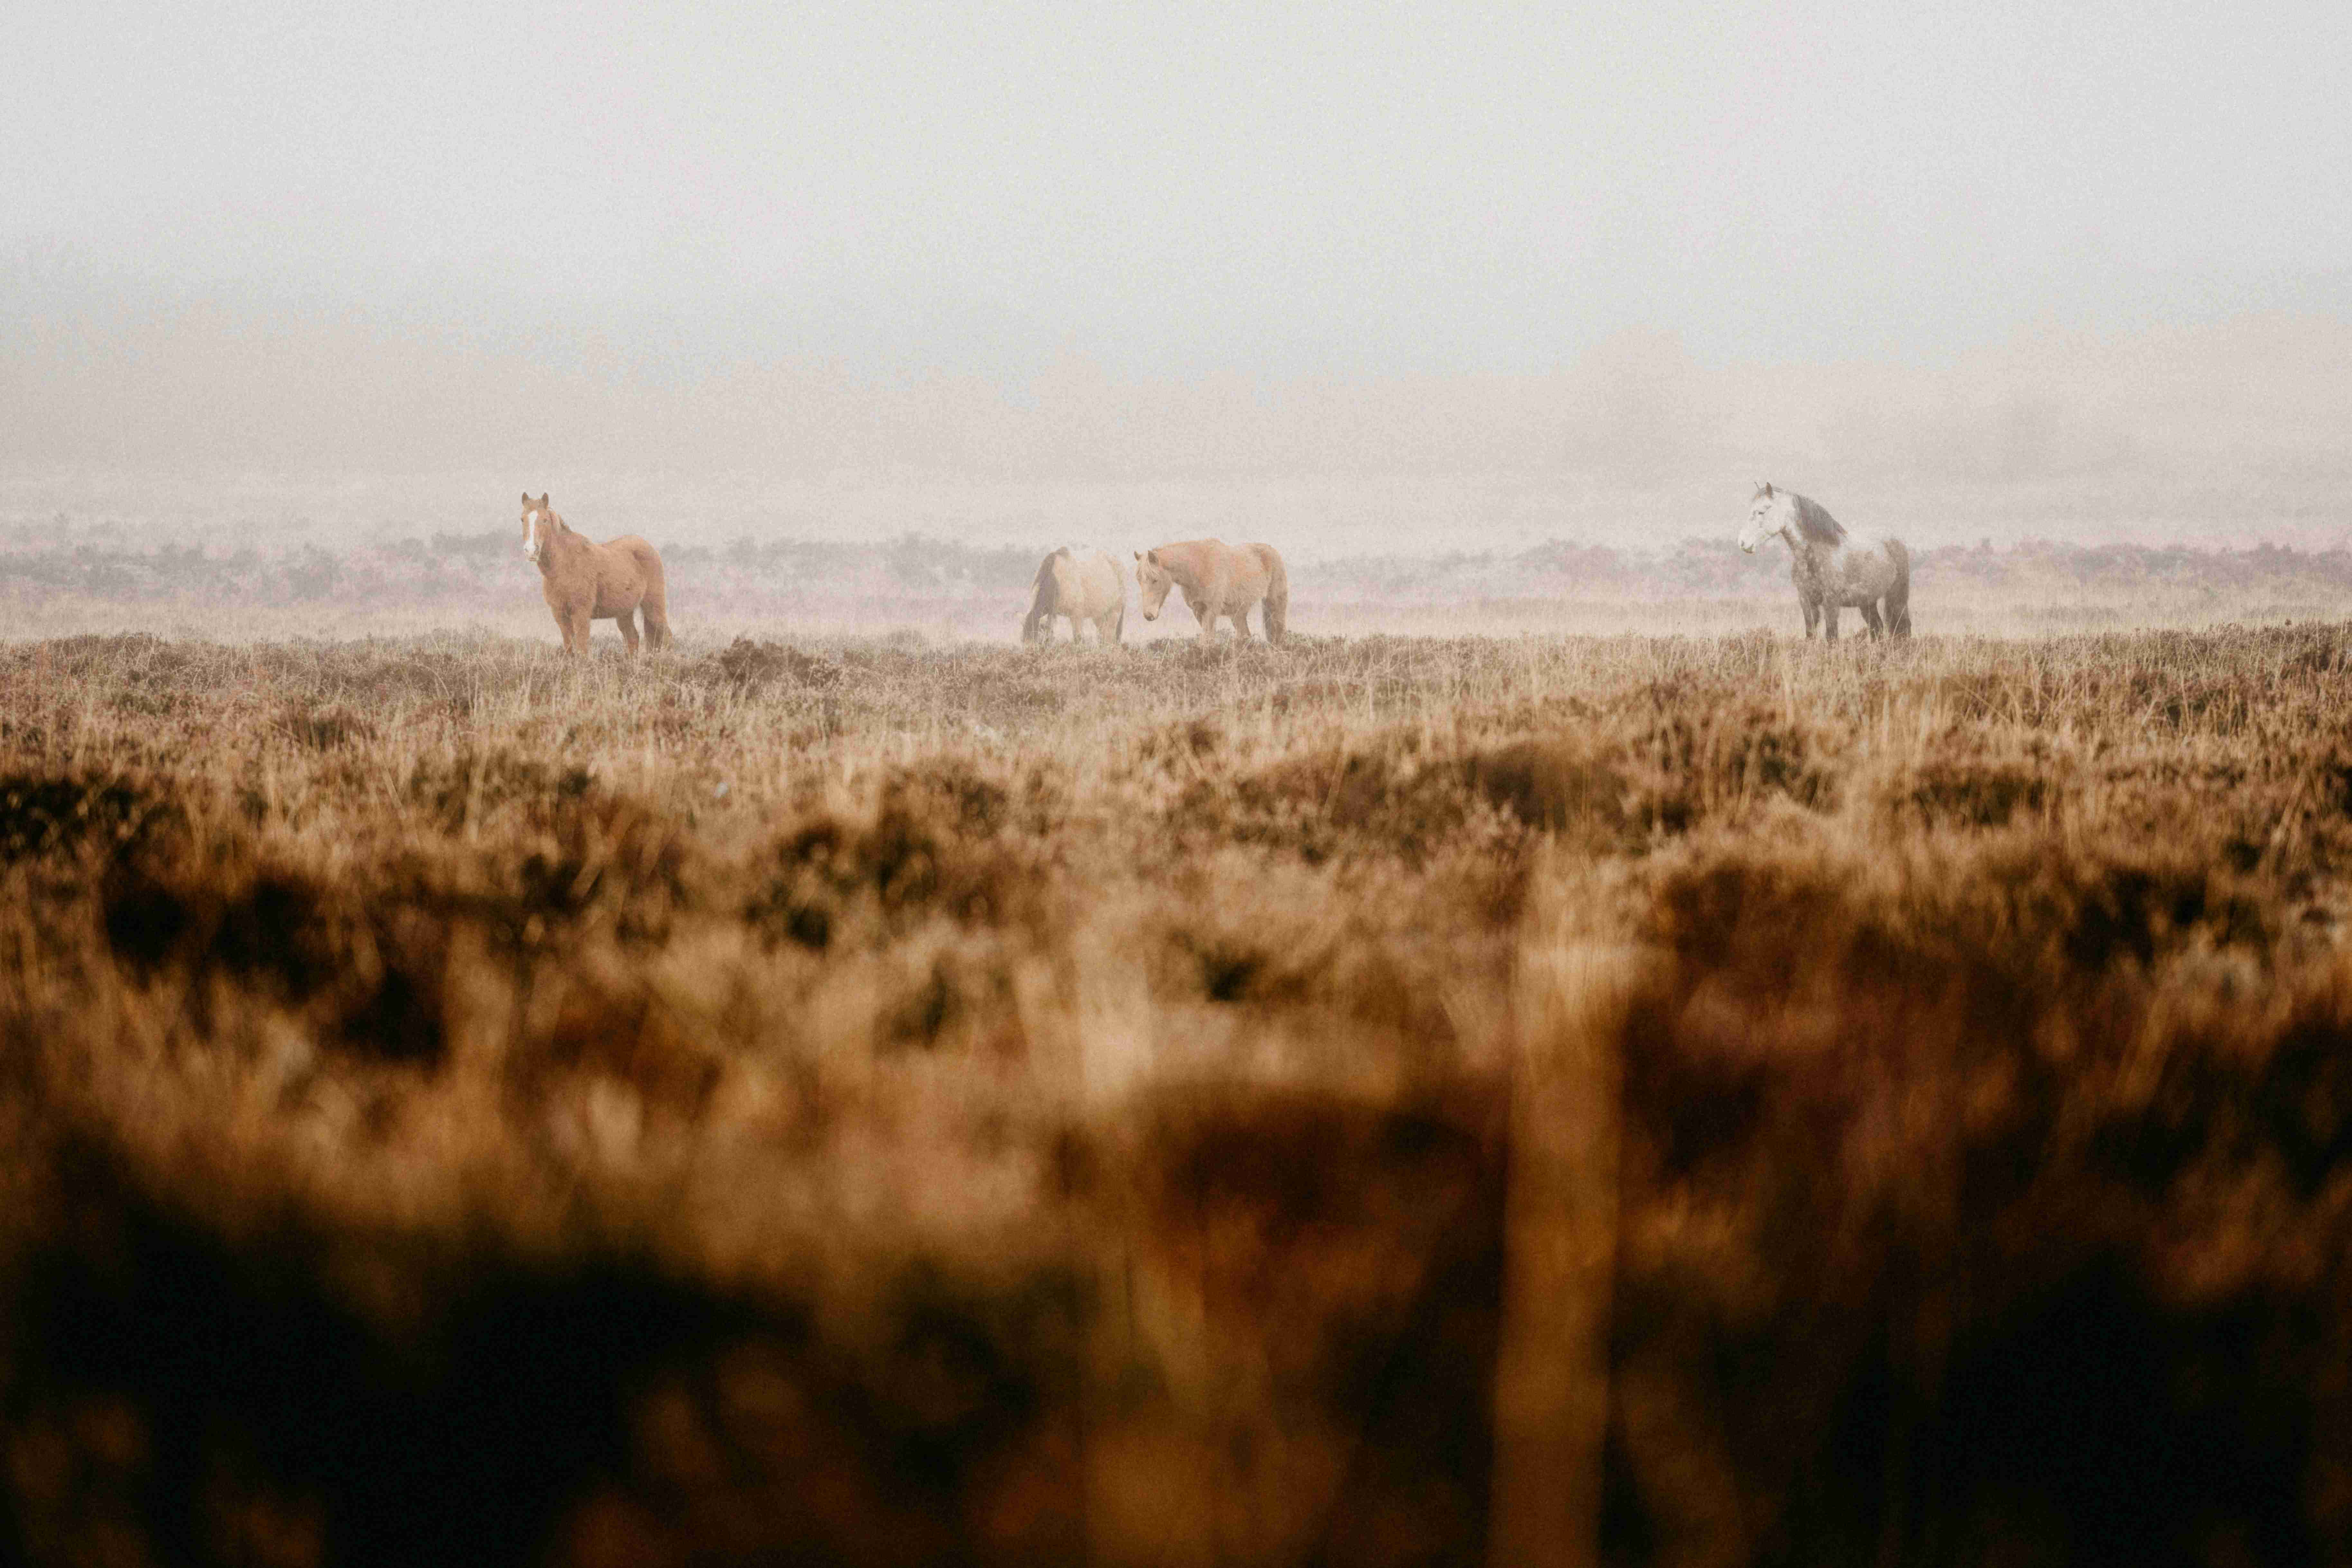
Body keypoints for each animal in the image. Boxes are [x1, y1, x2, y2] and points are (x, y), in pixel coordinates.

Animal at [520, 492, 672, 655]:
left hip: (654, 607)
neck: (565, 565)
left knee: (667, 636)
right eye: (522, 519)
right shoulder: (560, 615)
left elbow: (582, 650)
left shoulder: (581, 614)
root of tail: (651, 549)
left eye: (545, 520)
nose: (531, 551)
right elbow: (570, 649)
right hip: (625, 612)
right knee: (633, 639)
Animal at [1022, 546, 1128, 644]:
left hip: (1115, 612)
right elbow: (1050, 635)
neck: (1057, 579)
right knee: (1103, 635)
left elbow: (1078, 638)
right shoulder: (1052, 613)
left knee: (1110, 636)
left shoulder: (1077, 615)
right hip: (1100, 615)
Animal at [1133, 539, 1289, 646]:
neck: (1200, 567)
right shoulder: (1198, 611)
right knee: (1246, 637)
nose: (1149, 616)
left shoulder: (1211, 611)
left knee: (1279, 634)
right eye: (1139, 580)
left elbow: (1208, 640)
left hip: (1275, 604)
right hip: (1238, 614)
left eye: (1155, 580)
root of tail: (1272, 551)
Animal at [1739, 482, 1911, 640]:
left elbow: (1832, 637)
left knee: (1903, 627)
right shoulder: (1807, 602)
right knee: (1877, 629)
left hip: (1897, 598)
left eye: (1762, 512)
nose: (1743, 543)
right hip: (1867, 602)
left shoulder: (1831, 602)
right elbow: (1810, 635)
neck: (1815, 555)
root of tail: (1896, 542)